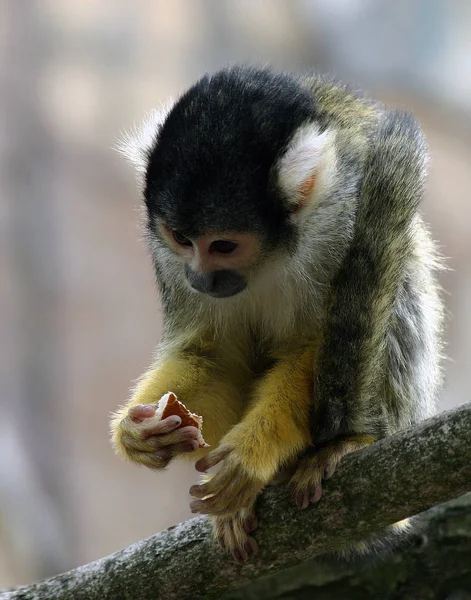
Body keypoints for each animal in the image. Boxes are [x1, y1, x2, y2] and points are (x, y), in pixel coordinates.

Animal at [109, 67, 442, 564]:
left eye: (223, 245)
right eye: (182, 239)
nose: (199, 277)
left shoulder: (340, 217)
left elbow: (312, 345)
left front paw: (256, 449)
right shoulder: (166, 258)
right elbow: (213, 357)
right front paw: (139, 431)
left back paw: (348, 443)